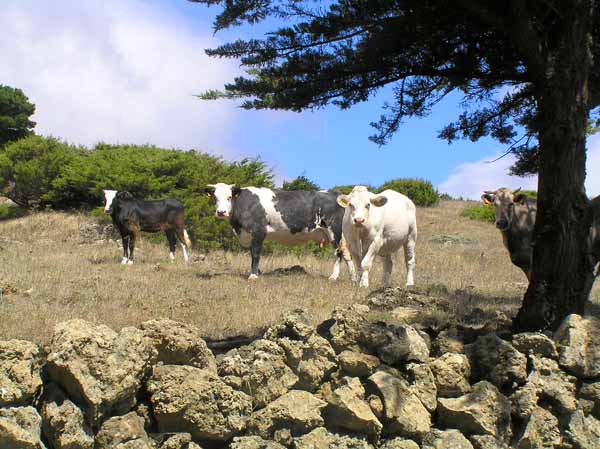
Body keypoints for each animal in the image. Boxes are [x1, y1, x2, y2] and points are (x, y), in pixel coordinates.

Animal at [205, 183, 354, 280]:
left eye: (229, 197)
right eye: (215, 198)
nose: (221, 212)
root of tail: (335, 193)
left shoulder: (259, 231)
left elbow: (256, 253)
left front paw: (253, 275)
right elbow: (252, 253)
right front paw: (256, 272)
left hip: (334, 231)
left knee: (338, 253)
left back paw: (333, 277)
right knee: (346, 254)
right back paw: (353, 278)